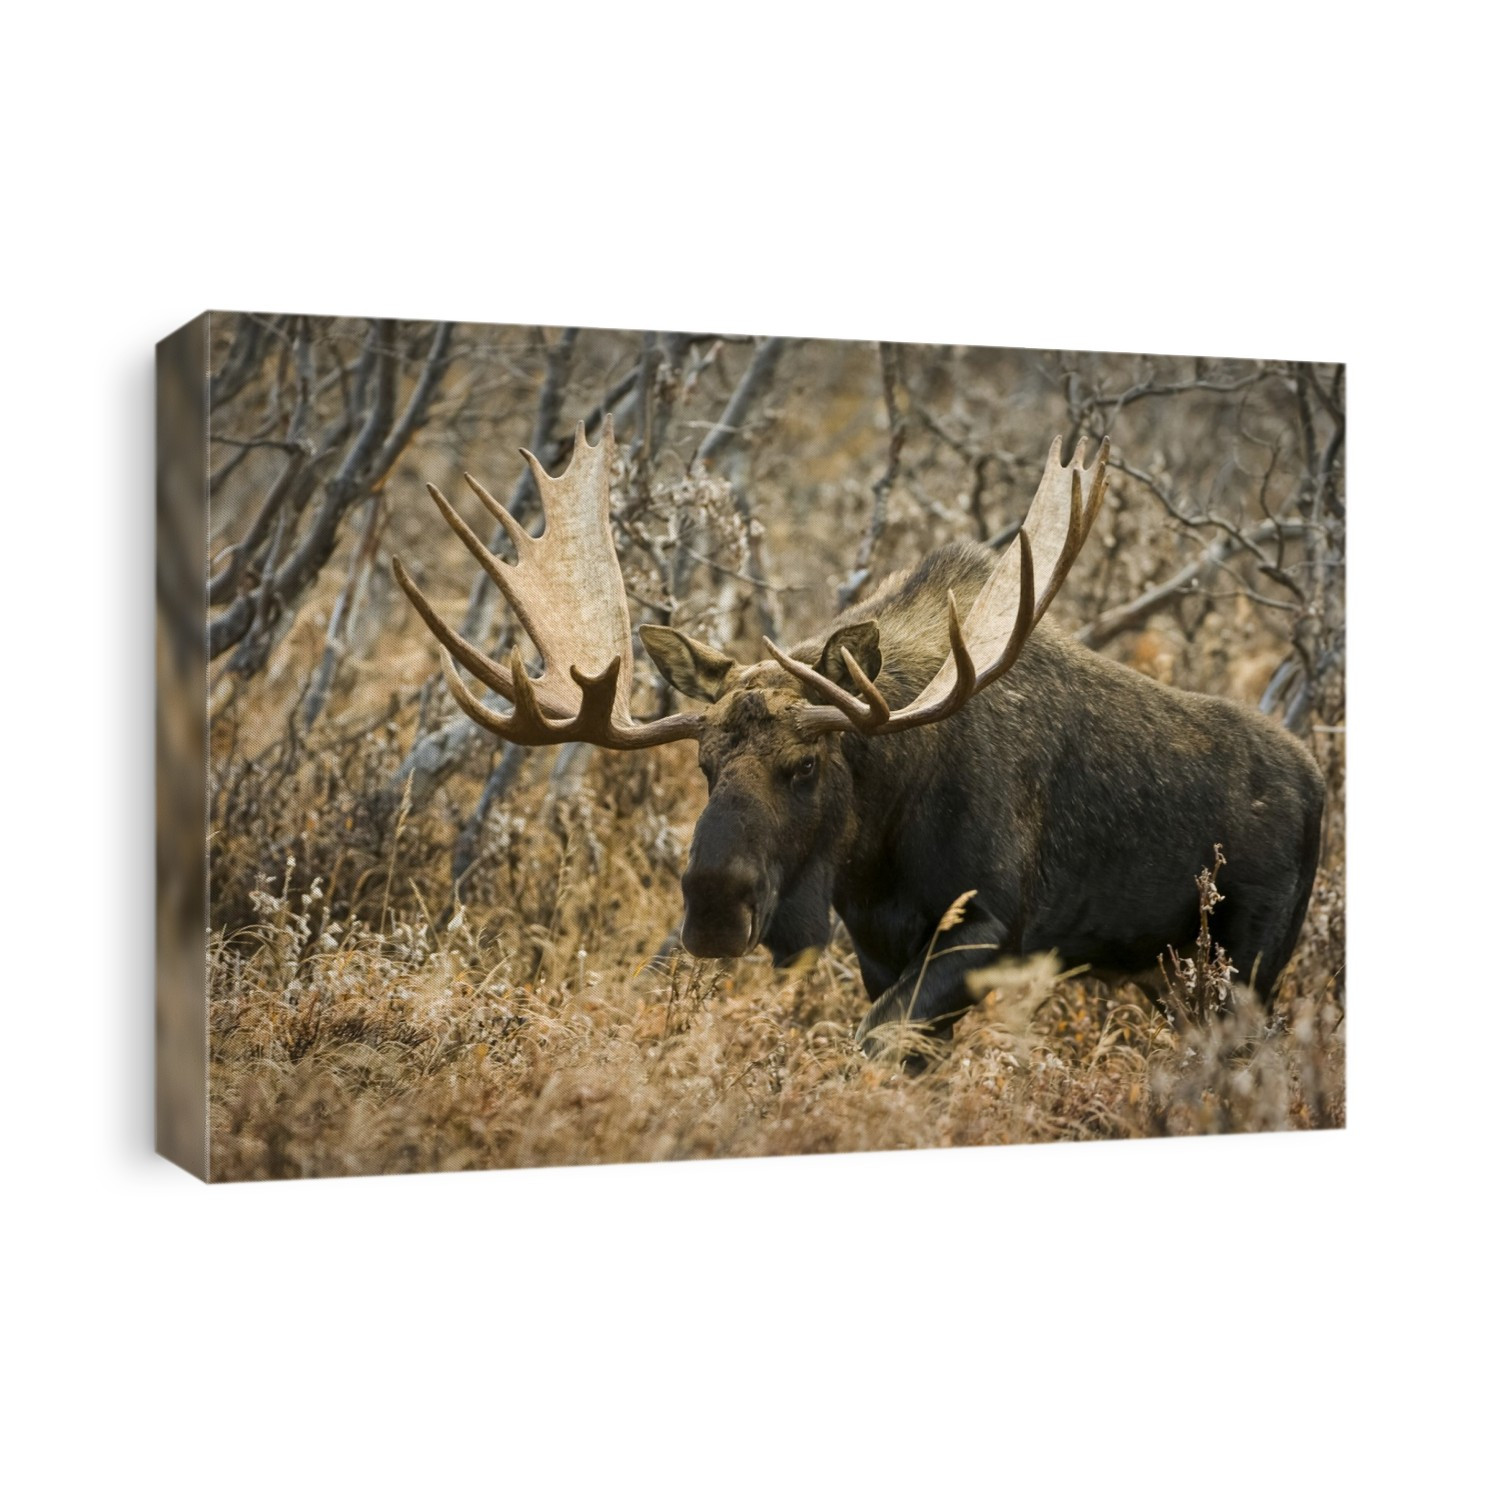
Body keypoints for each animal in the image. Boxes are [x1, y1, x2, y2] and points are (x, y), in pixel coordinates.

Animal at [393, 416, 1325, 1057]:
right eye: (702, 764)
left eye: (807, 765)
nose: (712, 907)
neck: (877, 850)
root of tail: (1318, 779)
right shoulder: (880, 946)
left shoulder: (989, 929)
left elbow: (871, 1041)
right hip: (1175, 976)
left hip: (1245, 966)